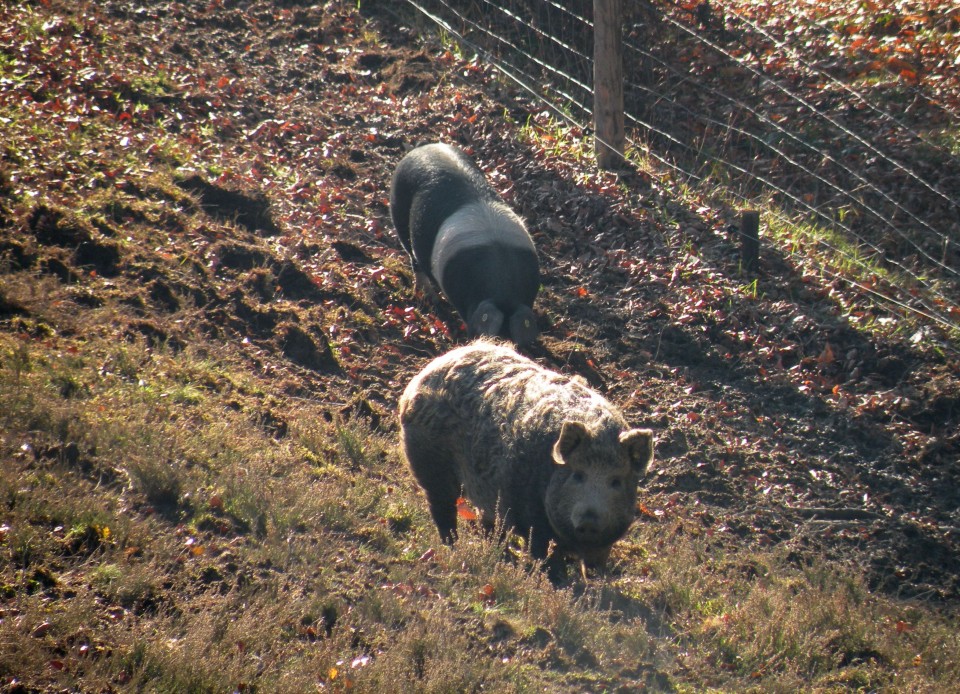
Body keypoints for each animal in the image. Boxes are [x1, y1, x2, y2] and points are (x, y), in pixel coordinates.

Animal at [398, 342, 652, 564]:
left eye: (616, 481)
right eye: (578, 475)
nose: (589, 520)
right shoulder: (530, 517)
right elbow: (541, 552)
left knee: (487, 524)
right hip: (430, 465)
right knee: (442, 510)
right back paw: (453, 548)